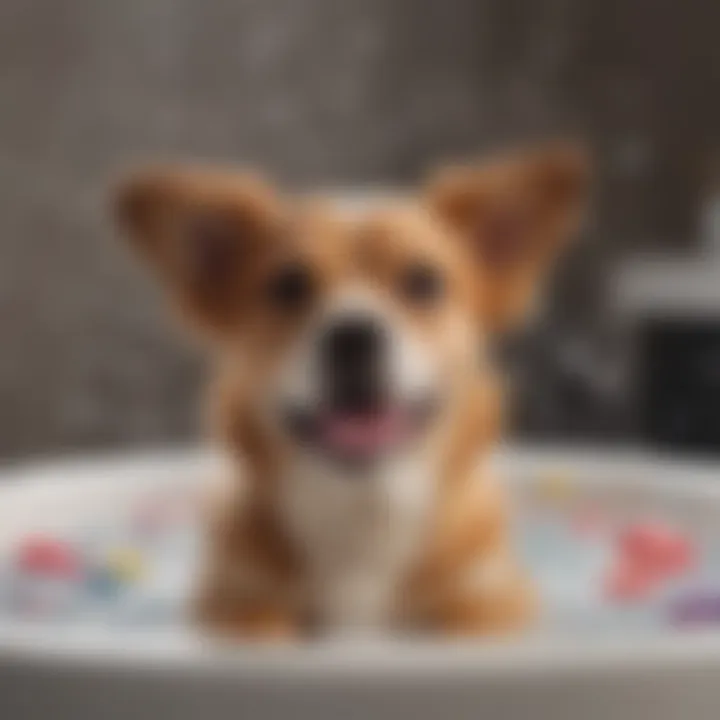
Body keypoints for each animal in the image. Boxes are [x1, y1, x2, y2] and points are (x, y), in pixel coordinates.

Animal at [111, 143, 584, 640]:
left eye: (423, 281)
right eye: (288, 285)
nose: (353, 336)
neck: (362, 510)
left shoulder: (487, 603)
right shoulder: (235, 602)